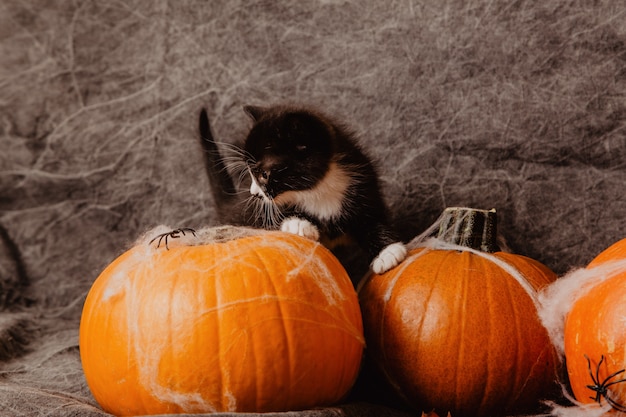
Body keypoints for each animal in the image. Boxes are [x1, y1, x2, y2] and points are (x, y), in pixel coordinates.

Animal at [197, 103, 408, 272]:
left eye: (263, 174)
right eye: (250, 171)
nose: (253, 193)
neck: (317, 190)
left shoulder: (364, 182)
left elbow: (372, 218)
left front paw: (387, 252)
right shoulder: (256, 212)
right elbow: (266, 219)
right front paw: (299, 223)